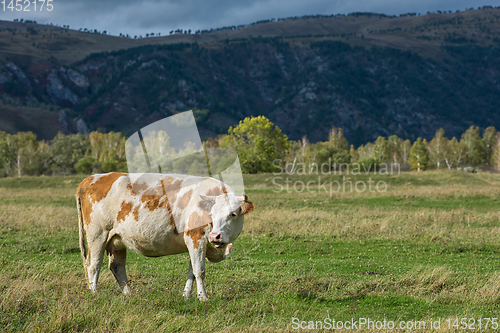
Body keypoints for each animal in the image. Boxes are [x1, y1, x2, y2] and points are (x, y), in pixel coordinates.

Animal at [76, 172, 254, 300]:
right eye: (211, 214)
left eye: (232, 214)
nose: (215, 237)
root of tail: (92, 178)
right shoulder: (195, 238)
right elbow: (199, 271)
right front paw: (203, 297)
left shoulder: (196, 243)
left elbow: (191, 271)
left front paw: (186, 295)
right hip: (97, 236)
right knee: (93, 265)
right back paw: (94, 293)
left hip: (117, 240)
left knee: (117, 266)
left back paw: (129, 294)